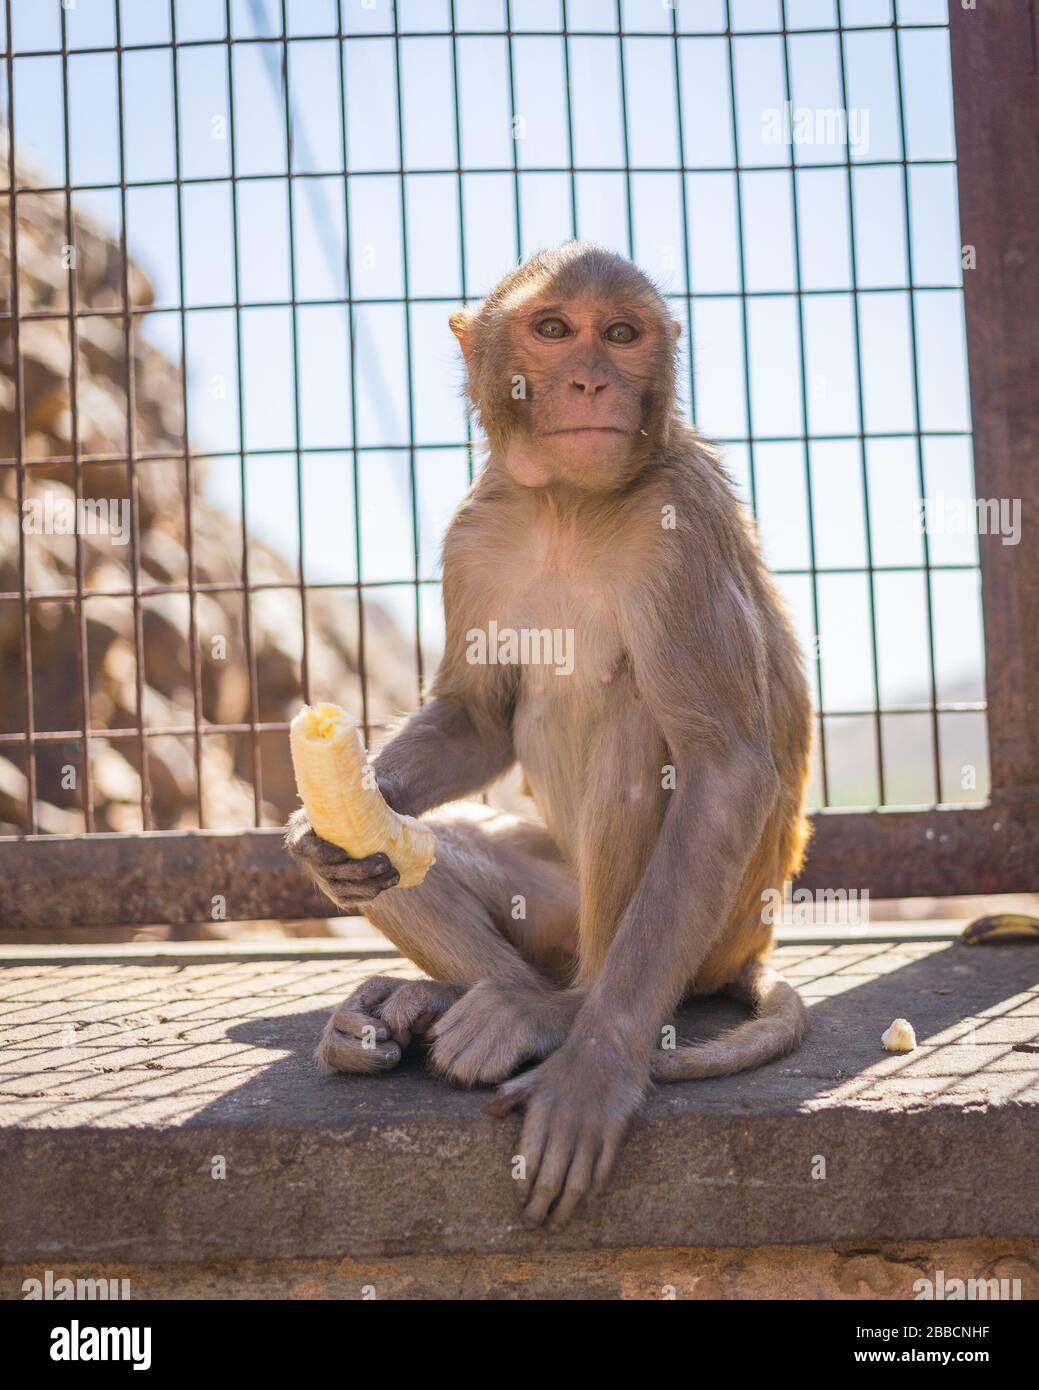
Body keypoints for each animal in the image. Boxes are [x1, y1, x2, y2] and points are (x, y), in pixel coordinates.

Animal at [287, 241, 813, 1230]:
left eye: (622, 333)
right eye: (555, 328)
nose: (590, 379)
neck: (569, 505)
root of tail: (756, 942)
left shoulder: (681, 523)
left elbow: (724, 767)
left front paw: (596, 1066)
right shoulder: (473, 531)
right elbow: (476, 715)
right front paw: (330, 833)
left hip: (709, 936)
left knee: (637, 719)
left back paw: (560, 1017)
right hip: (551, 908)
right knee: (433, 852)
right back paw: (442, 996)